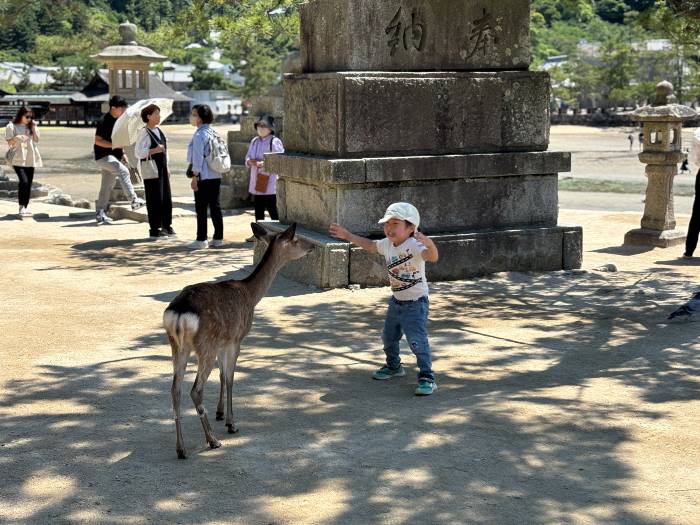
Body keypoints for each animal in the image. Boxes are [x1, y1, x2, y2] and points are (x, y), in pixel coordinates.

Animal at [164, 223, 312, 456]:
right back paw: (212, 440)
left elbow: (222, 377)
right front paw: (231, 423)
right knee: (195, 390)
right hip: (205, 345)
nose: (313, 246)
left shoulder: (223, 342)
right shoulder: (236, 338)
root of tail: (179, 313)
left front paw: (220, 413)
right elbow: (231, 378)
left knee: (175, 390)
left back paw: (181, 448)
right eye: (296, 239)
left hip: (177, 346)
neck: (251, 295)